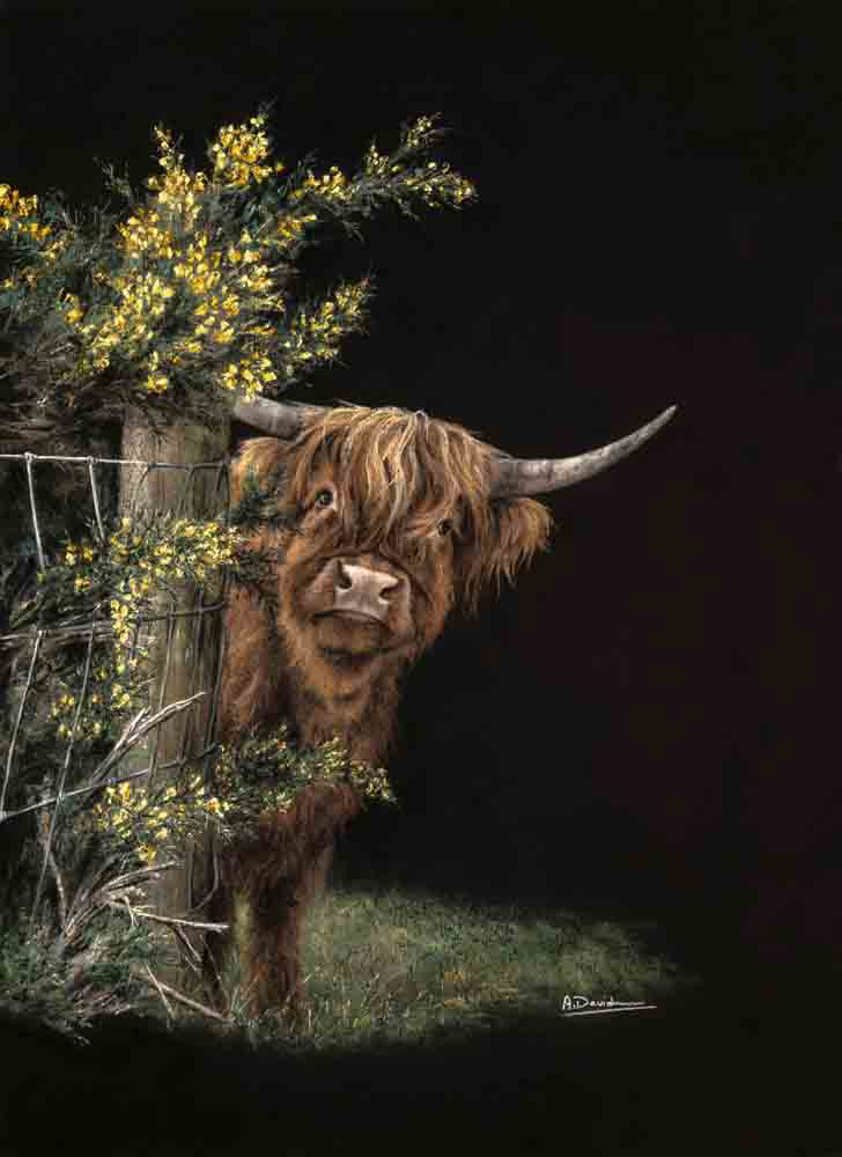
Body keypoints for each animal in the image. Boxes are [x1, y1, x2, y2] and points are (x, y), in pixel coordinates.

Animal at [207, 397, 676, 1016]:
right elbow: (205, 924)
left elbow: (277, 924)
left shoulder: (308, 830)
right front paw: (199, 1002)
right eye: (325, 496)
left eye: (446, 526)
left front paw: (281, 1018)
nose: (367, 586)